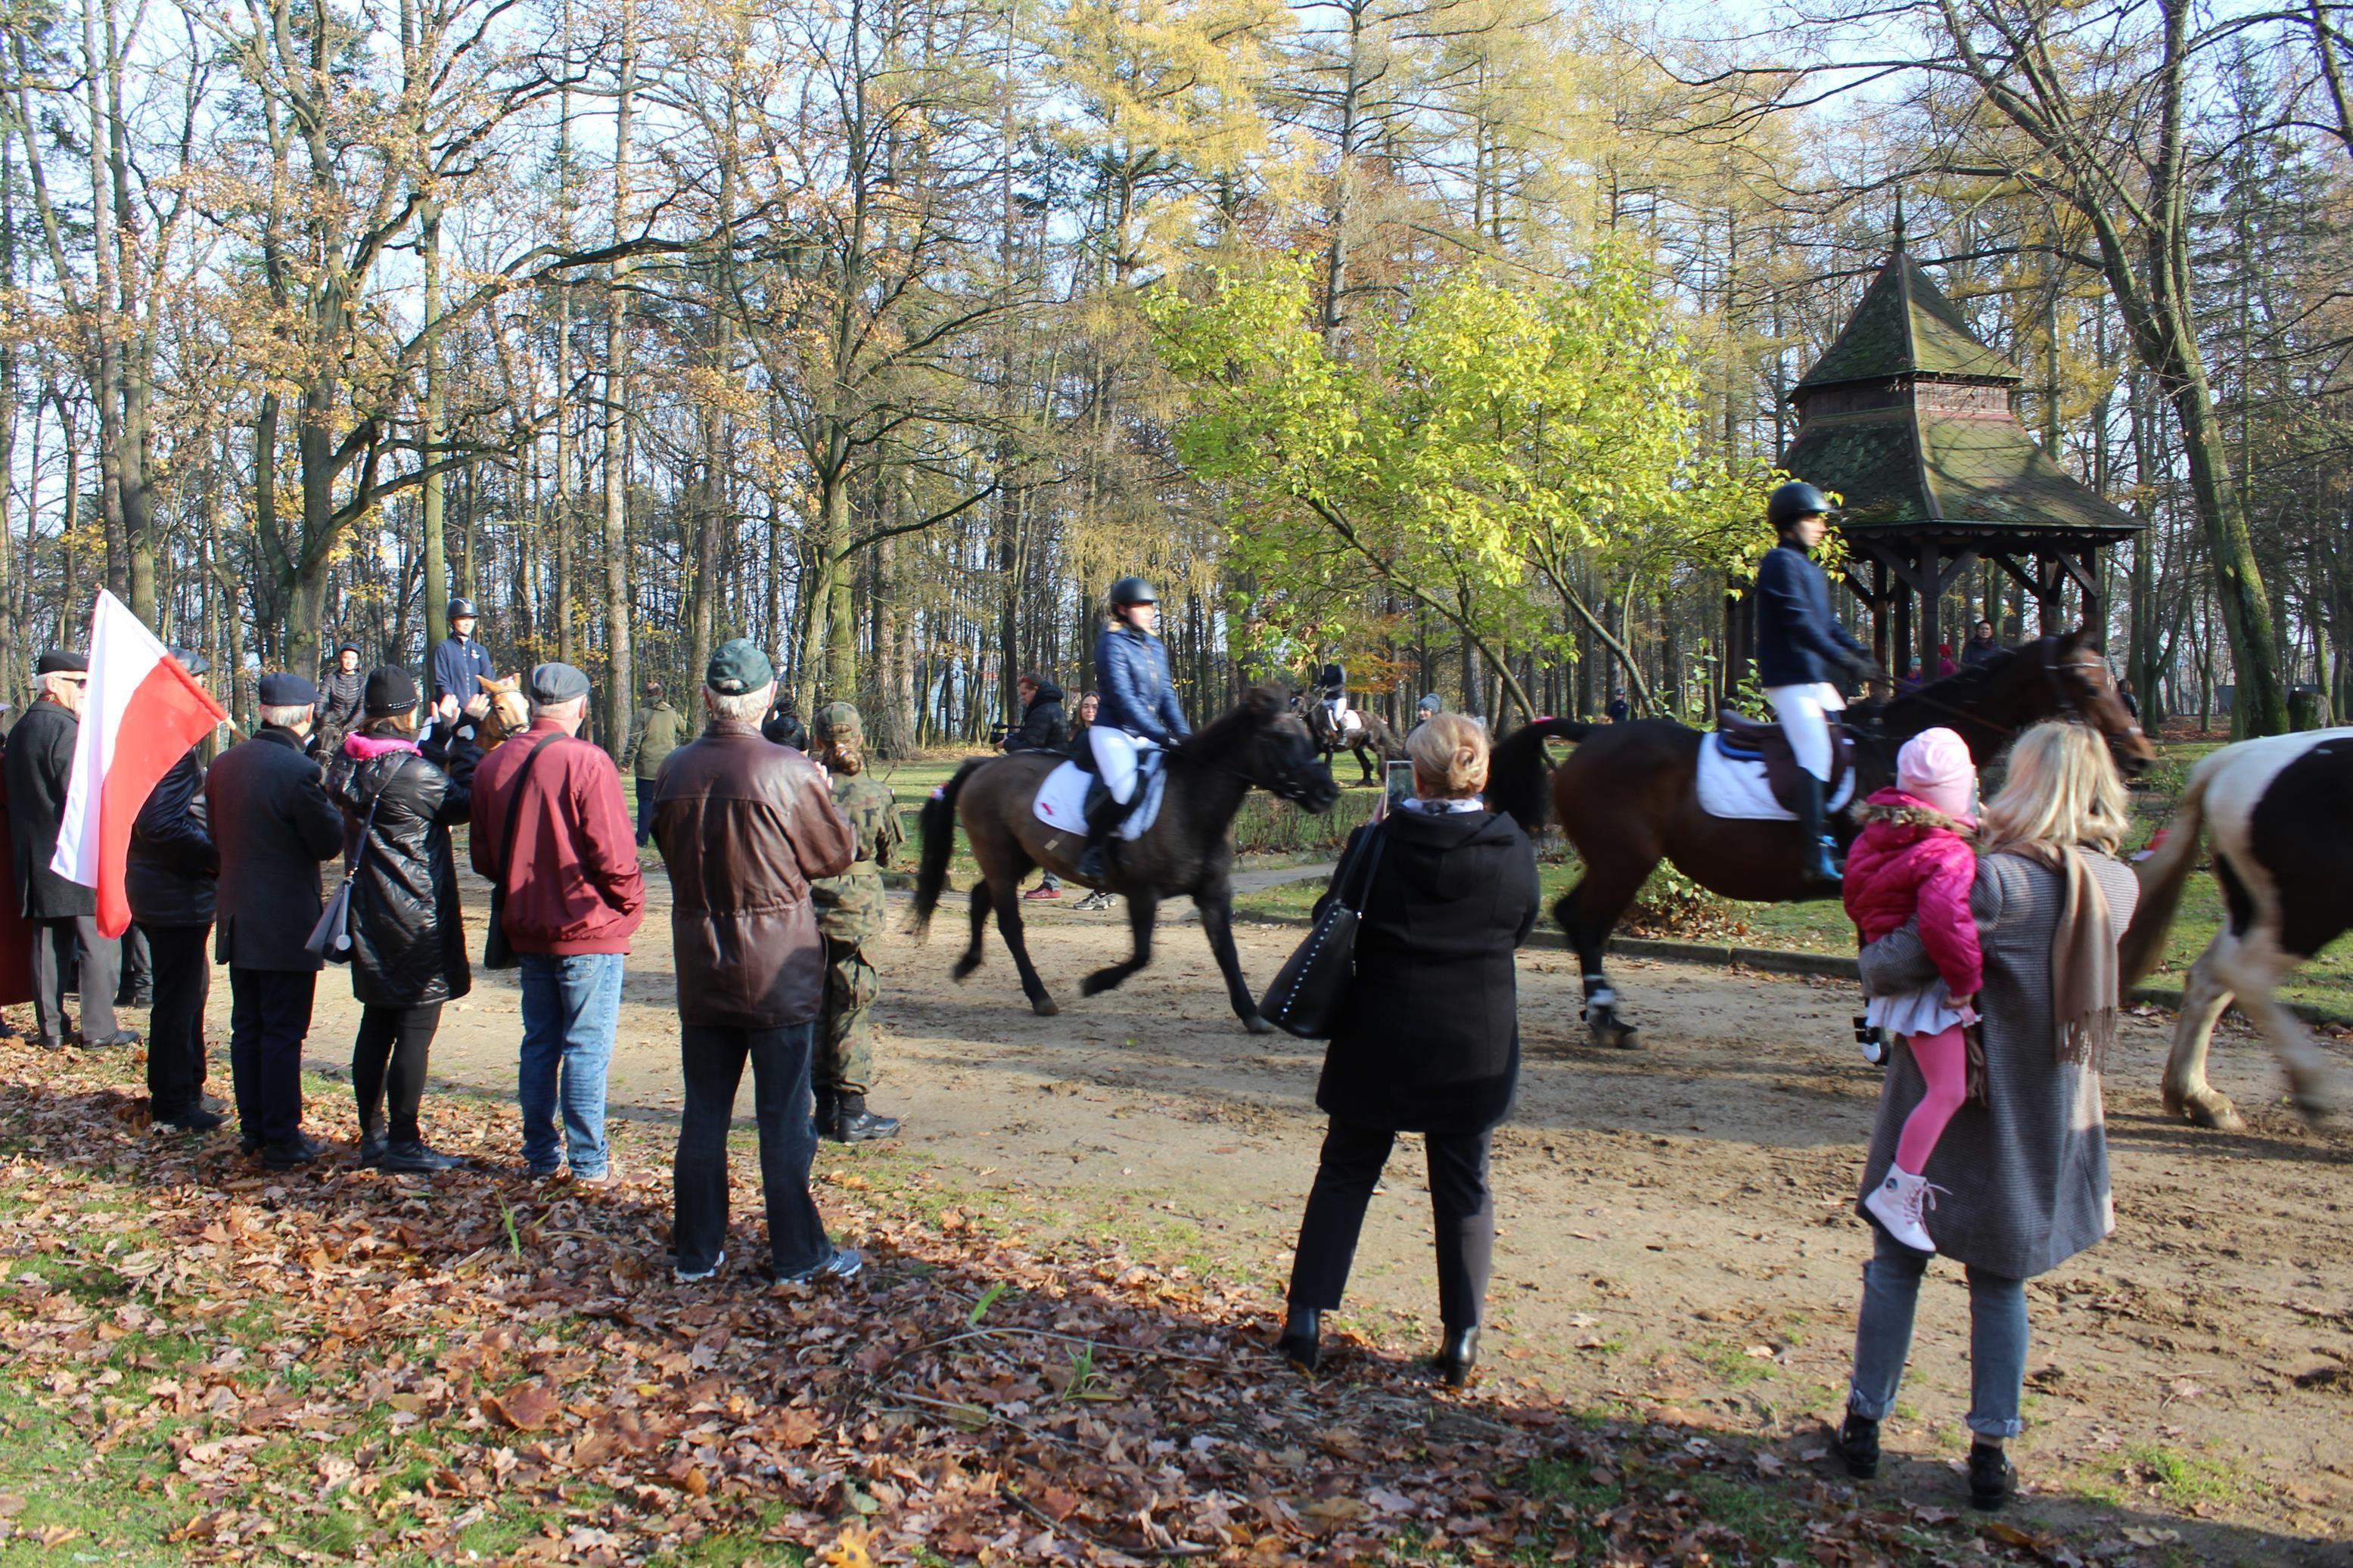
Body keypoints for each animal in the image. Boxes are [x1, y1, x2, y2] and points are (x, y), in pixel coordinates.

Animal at [908, 682, 1336, 1029]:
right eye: (1281, 737)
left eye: (1308, 735)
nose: (1328, 792)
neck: (1191, 802)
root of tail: (983, 766)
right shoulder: (1143, 893)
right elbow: (1143, 955)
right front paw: (1095, 982)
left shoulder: (1213, 893)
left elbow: (1226, 951)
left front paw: (1250, 1014)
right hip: (1000, 857)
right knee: (1010, 925)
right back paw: (1039, 996)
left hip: (1020, 859)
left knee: (980, 897)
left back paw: (968, 964)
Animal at [1487, 629, 2155, 1048]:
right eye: (2088, 687)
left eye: (2113, 681)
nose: (2141, 756)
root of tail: (1590, 732)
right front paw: (1881, 1035)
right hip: (1625, 859)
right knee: (1583, 922)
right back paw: (1606, 1018)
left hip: (1619, 860)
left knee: (1584, 923)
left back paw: (1605, 1015)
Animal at [2118, 728, 2353, 1123]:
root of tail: (2237, 755)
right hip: (2311, 909)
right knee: (2242, 975)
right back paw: (2309, 1086)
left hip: (2256, 911)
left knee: (2209, 978)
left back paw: (2198, 1097)